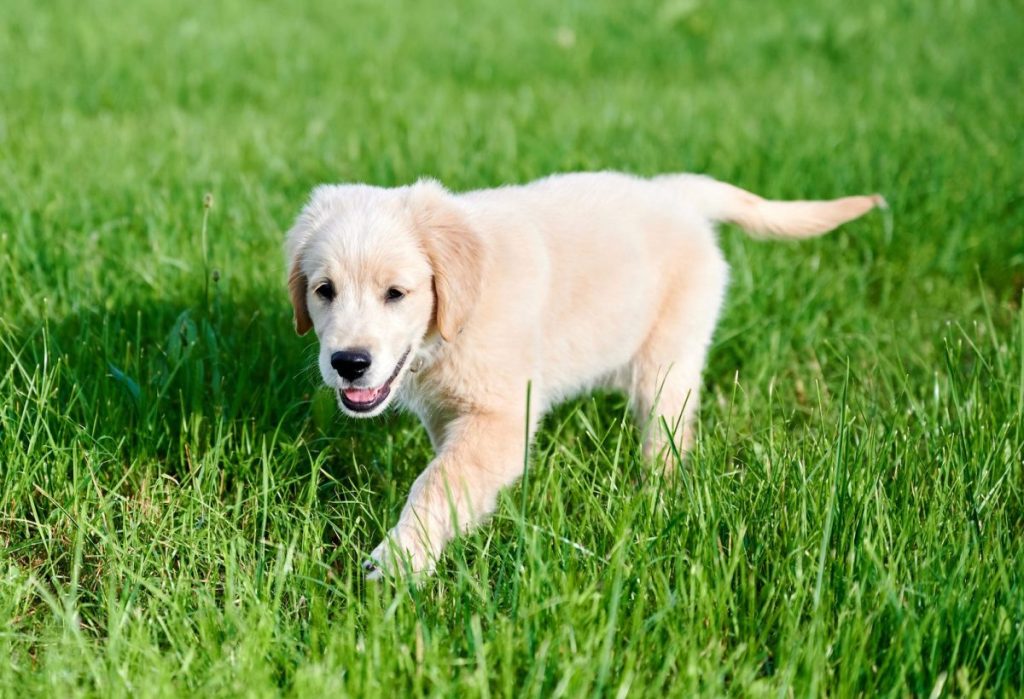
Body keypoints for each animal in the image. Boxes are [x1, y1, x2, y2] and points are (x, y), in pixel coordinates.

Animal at [284, 171, 884, 577]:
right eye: (324, 291)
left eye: (396, 293)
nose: (348, 363)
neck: (457, 318)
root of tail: (676, 193)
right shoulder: (449, 413)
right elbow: (451, 473)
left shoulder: (501, 419)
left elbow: (438, 481)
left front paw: (399, 561)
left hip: (667, 360)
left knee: (668, 434)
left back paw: (656, 495)